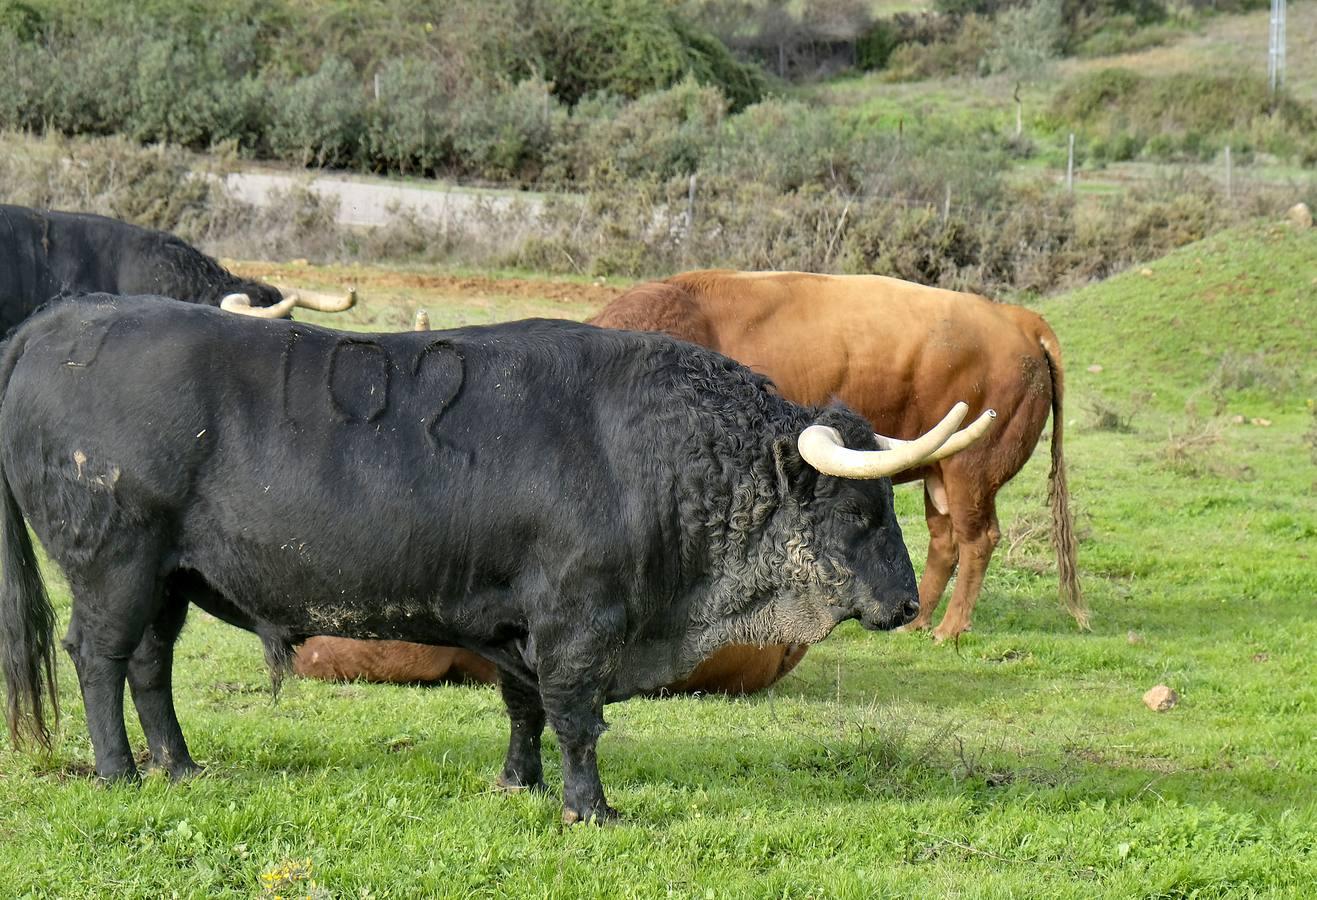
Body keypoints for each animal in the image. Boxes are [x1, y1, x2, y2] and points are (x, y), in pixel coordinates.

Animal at [0, 295, 990, 822]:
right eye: (860, 510)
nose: (907, 604)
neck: (653, 454)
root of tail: (60, 320)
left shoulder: (518, 621)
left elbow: (524, 709)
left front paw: (518, 783)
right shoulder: (579, 620)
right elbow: (578, 717)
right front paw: (589, 807)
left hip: (168, 578)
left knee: (150, 668)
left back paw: (178, 764)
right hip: (115, 565)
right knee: (101, 660)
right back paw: (119, 770)